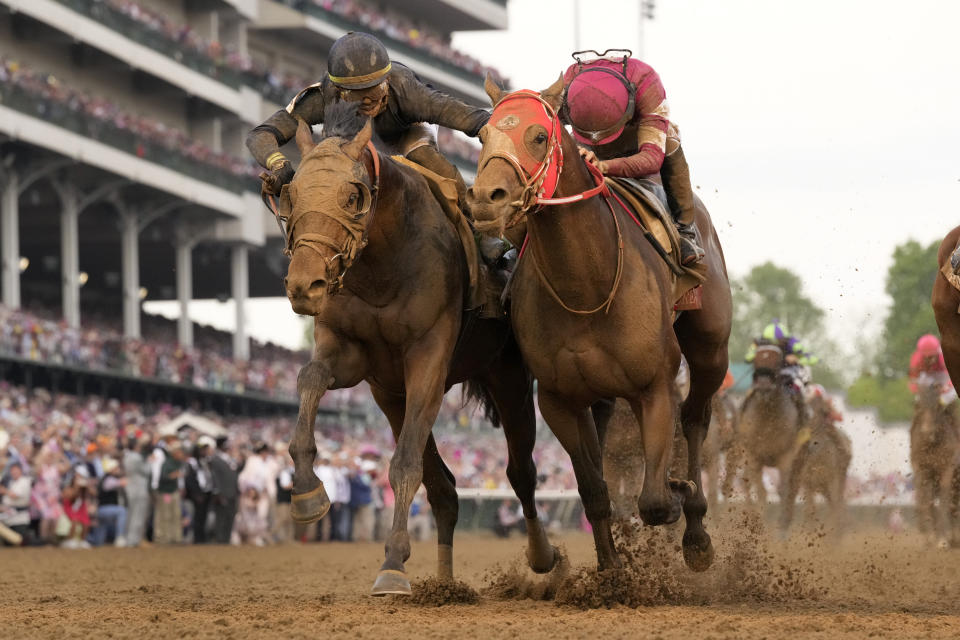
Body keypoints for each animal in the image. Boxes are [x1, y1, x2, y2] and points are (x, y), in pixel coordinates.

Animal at [278, 105, 556, 596]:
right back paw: (444, 585)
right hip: (391, 397)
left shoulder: (428, 358)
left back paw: (542, 555)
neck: (382, 268)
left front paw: (392, 565)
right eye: (290, 194)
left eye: (352, 196)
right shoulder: (354, 356)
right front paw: (308, 491)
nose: (304, 285)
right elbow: (310, 377)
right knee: (444, 488)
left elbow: (405, 464)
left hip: (510, 381)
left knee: (521, 472)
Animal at [468, 77, 732, 572]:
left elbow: (654, 501)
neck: (585, 285)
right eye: (483, 135)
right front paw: (610, 571)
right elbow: (594, 490)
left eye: (538, 136)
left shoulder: (654, 387)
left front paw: (677, 494)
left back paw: (697, 531)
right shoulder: (558, 400)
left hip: (710, 349)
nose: (486, 200)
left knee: (695, 418)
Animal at [908, 380, 960, 552]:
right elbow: (926, 500)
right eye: (918, 405)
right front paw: (927, 539)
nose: (926, 432)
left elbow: (944, 501)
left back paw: (953, 538)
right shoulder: (923, 471)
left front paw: (942, 540)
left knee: (953, 504)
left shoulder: (947, 470)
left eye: (937, 406)